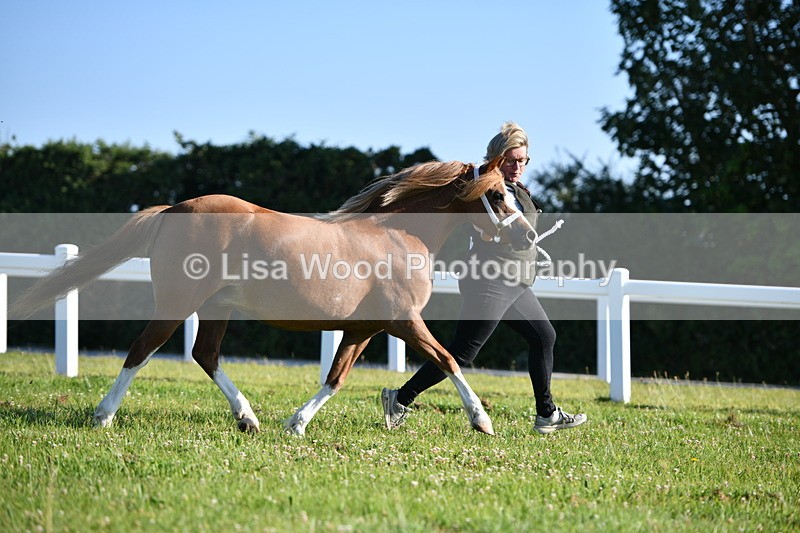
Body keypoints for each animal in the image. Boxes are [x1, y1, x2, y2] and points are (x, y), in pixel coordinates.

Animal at [12, 158, 536, 435]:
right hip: (179, 303)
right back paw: (103, 416)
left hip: (217, 307)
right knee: (143, 349)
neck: (397, 236)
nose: (529, 235)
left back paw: (248, 418)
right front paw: (482, 422)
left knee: (205, 355)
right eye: (497, 194)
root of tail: (175, 209)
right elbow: (448, 359)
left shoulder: (362, 329)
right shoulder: (403, 320)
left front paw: (296, 424)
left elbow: (336, 378)